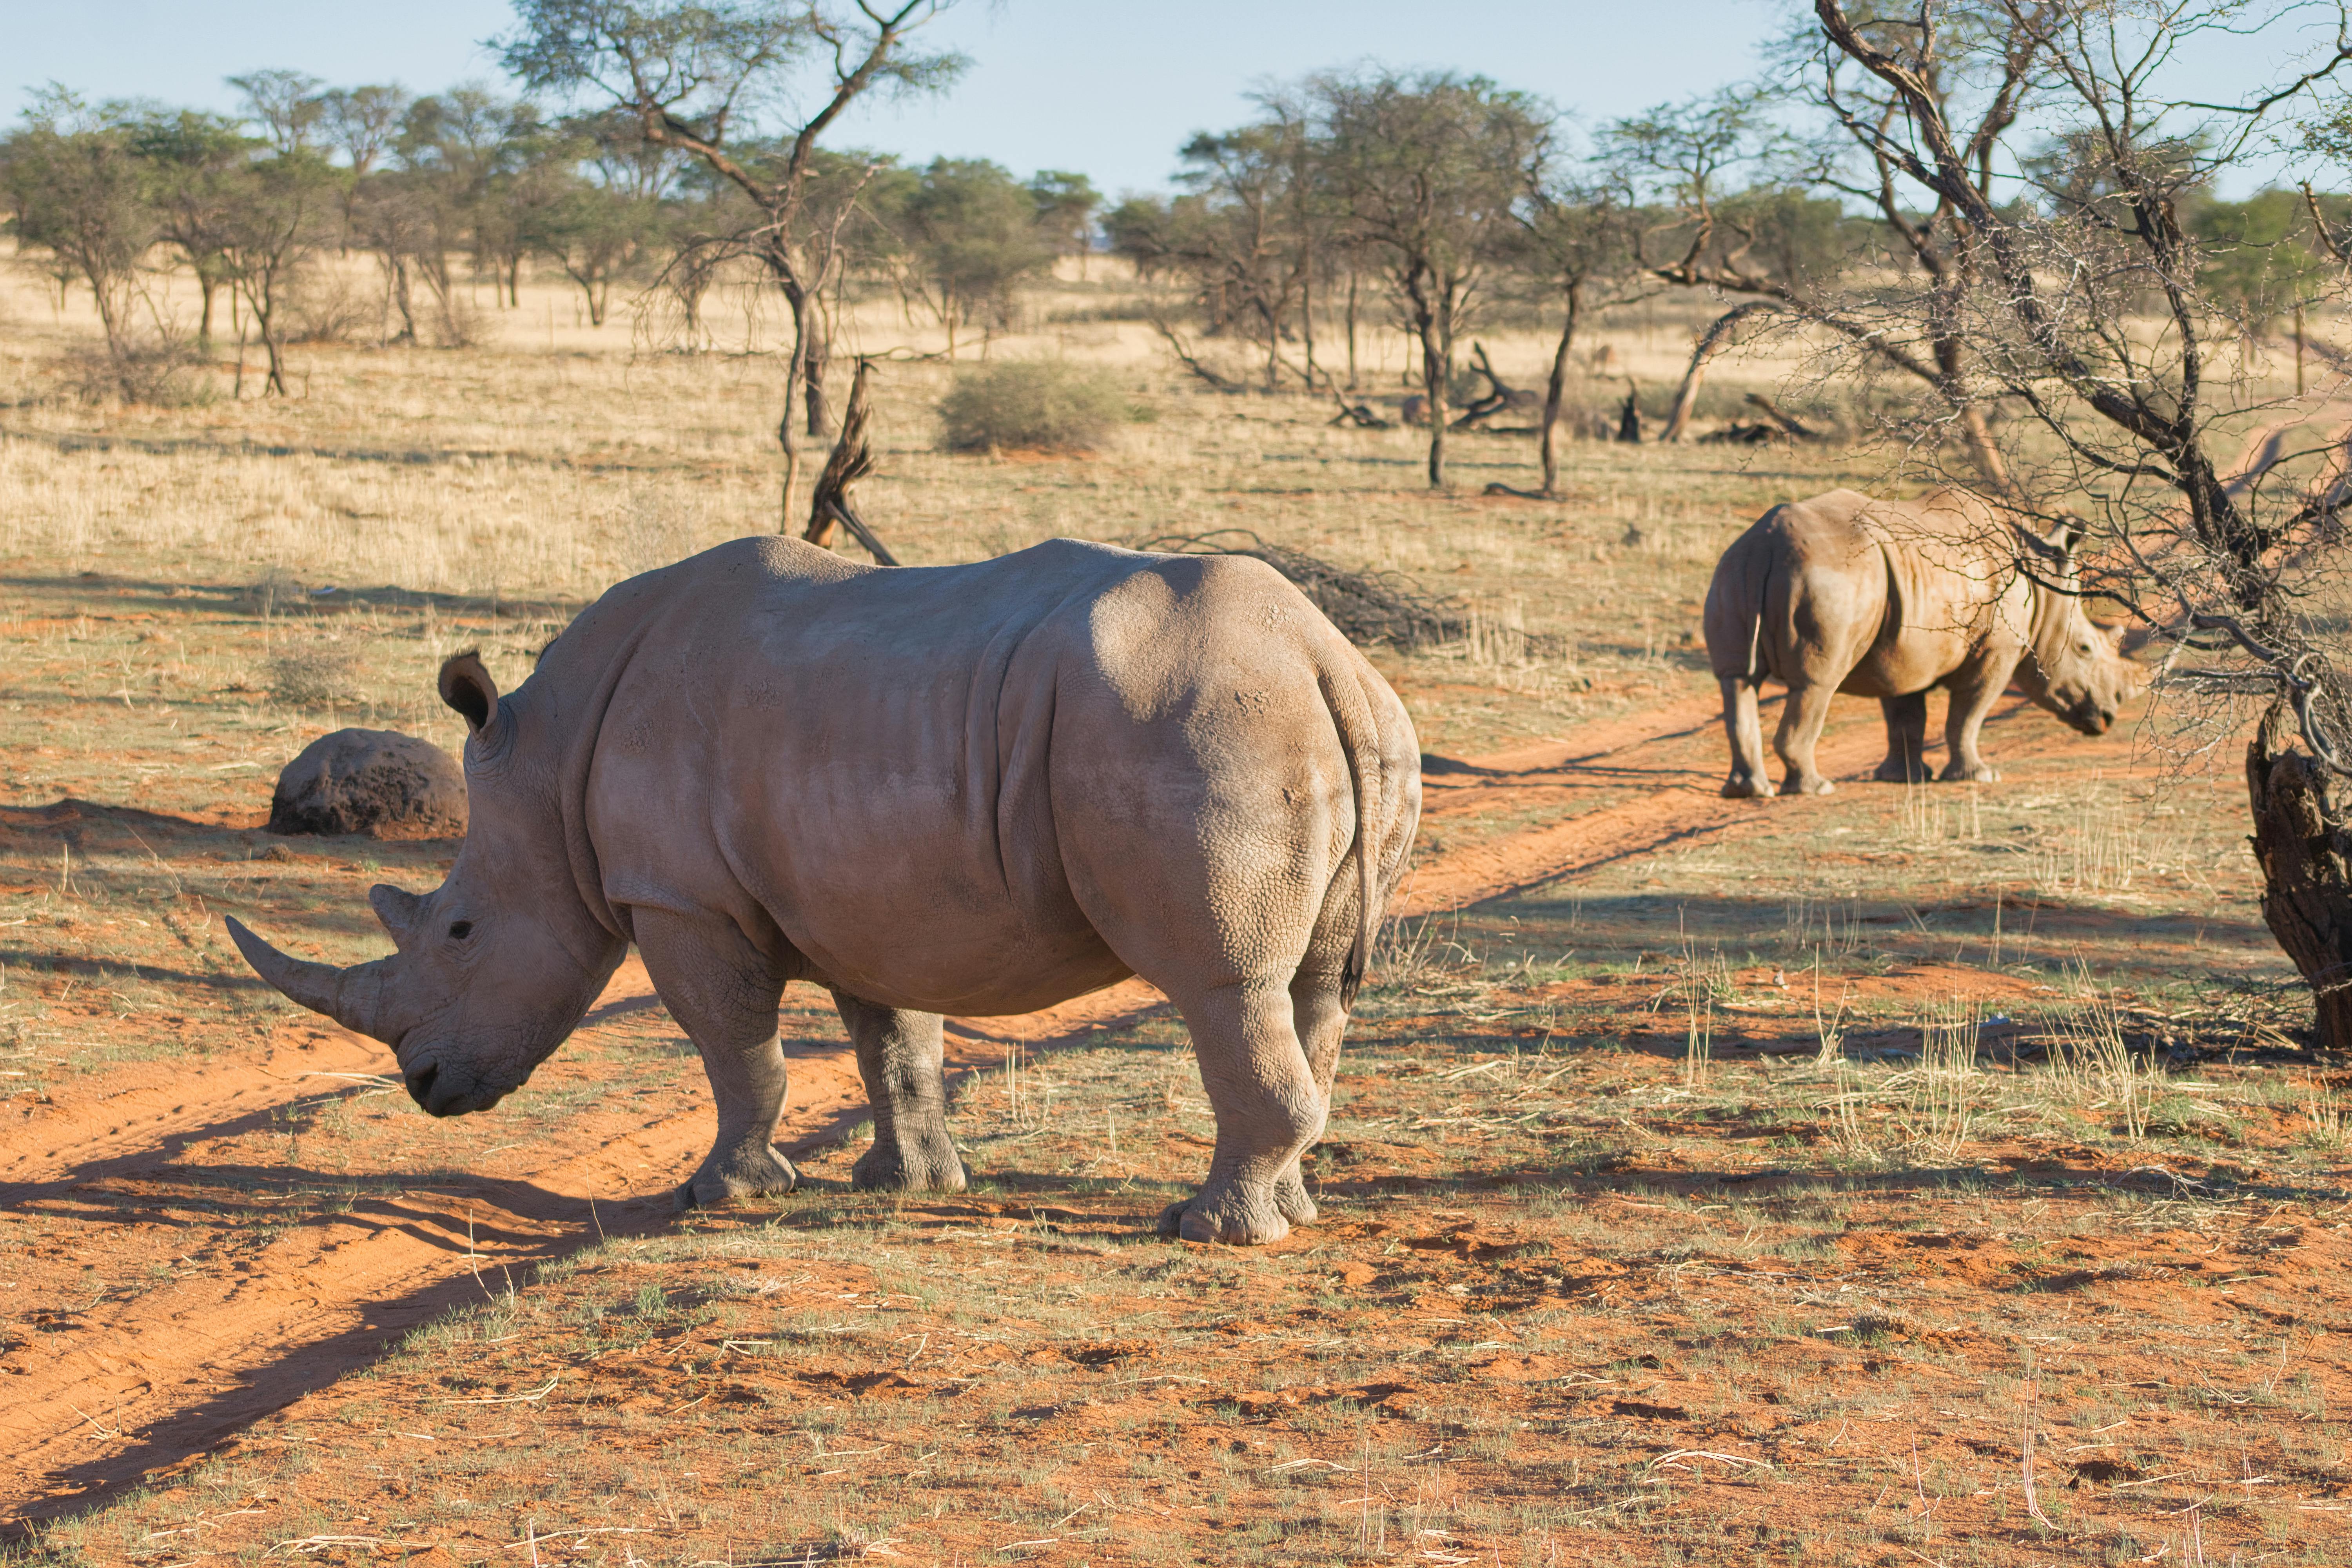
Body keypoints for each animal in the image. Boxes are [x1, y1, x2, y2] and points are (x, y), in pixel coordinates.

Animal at [228, 536, 1421, 1246]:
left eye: (461, 931)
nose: (427, 1087)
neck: (549, 762)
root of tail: (1321, 653)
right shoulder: (869, 892)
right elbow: (892, 1045)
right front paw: (905, 1187)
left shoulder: (681, 898)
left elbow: (737, 1051)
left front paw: (726, 1195)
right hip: (1341, 718)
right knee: (1315, 990)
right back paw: (1291, 1206)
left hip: (1198, 724)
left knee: (1223, 985)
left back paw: (1209, 1230)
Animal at [1702, 488, 2139, 797]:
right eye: (2085, 649)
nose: (2107, 718)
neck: (2044, 587)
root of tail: (1767, 546)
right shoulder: (1997, 650)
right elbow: (1967, 715)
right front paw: (1979, 777)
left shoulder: (1903, 648)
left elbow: (1906, 716)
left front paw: (1904, 779)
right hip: (1829, 578)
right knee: (1816, 684)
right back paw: (1816, 789)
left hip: (1733, 567)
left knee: (1736, 680)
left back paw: (1748, 791)